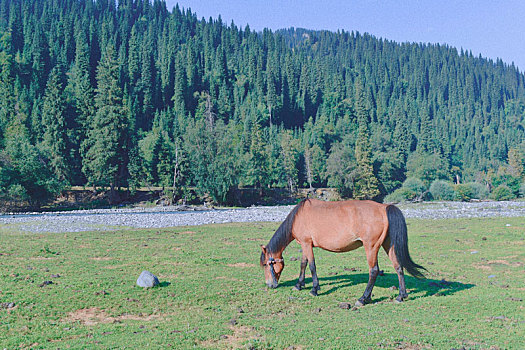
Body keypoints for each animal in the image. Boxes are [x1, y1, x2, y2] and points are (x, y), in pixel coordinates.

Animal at [260, 200, 424, 306]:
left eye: (266, 265)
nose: (270, 284)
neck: (299, 216)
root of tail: (384, 208)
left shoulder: (306, 243)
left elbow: (311, 266)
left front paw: (314, 289)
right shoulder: (305, 244)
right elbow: (303, 264)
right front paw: (299, 285)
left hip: (371, 247)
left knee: (374, 271)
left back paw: (363, 298)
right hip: (388, 245)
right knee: (398, 267)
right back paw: (401, 296)